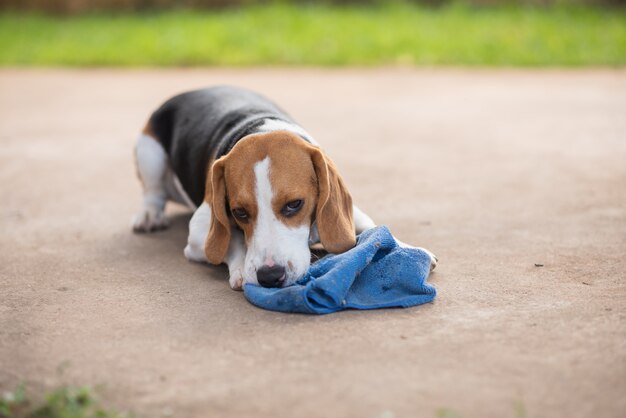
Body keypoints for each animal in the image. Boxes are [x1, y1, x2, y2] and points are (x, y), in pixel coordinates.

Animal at [132, 86, 434, 290]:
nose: (269, 276)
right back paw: (149, 215)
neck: (261, 126)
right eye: (239, 212)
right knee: (153, 193)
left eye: (294, 204)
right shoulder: (199, 233)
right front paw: (241, 268)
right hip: (149, 153)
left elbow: (372, 227)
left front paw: (407, 248)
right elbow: (231, 239)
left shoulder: (351, 213)